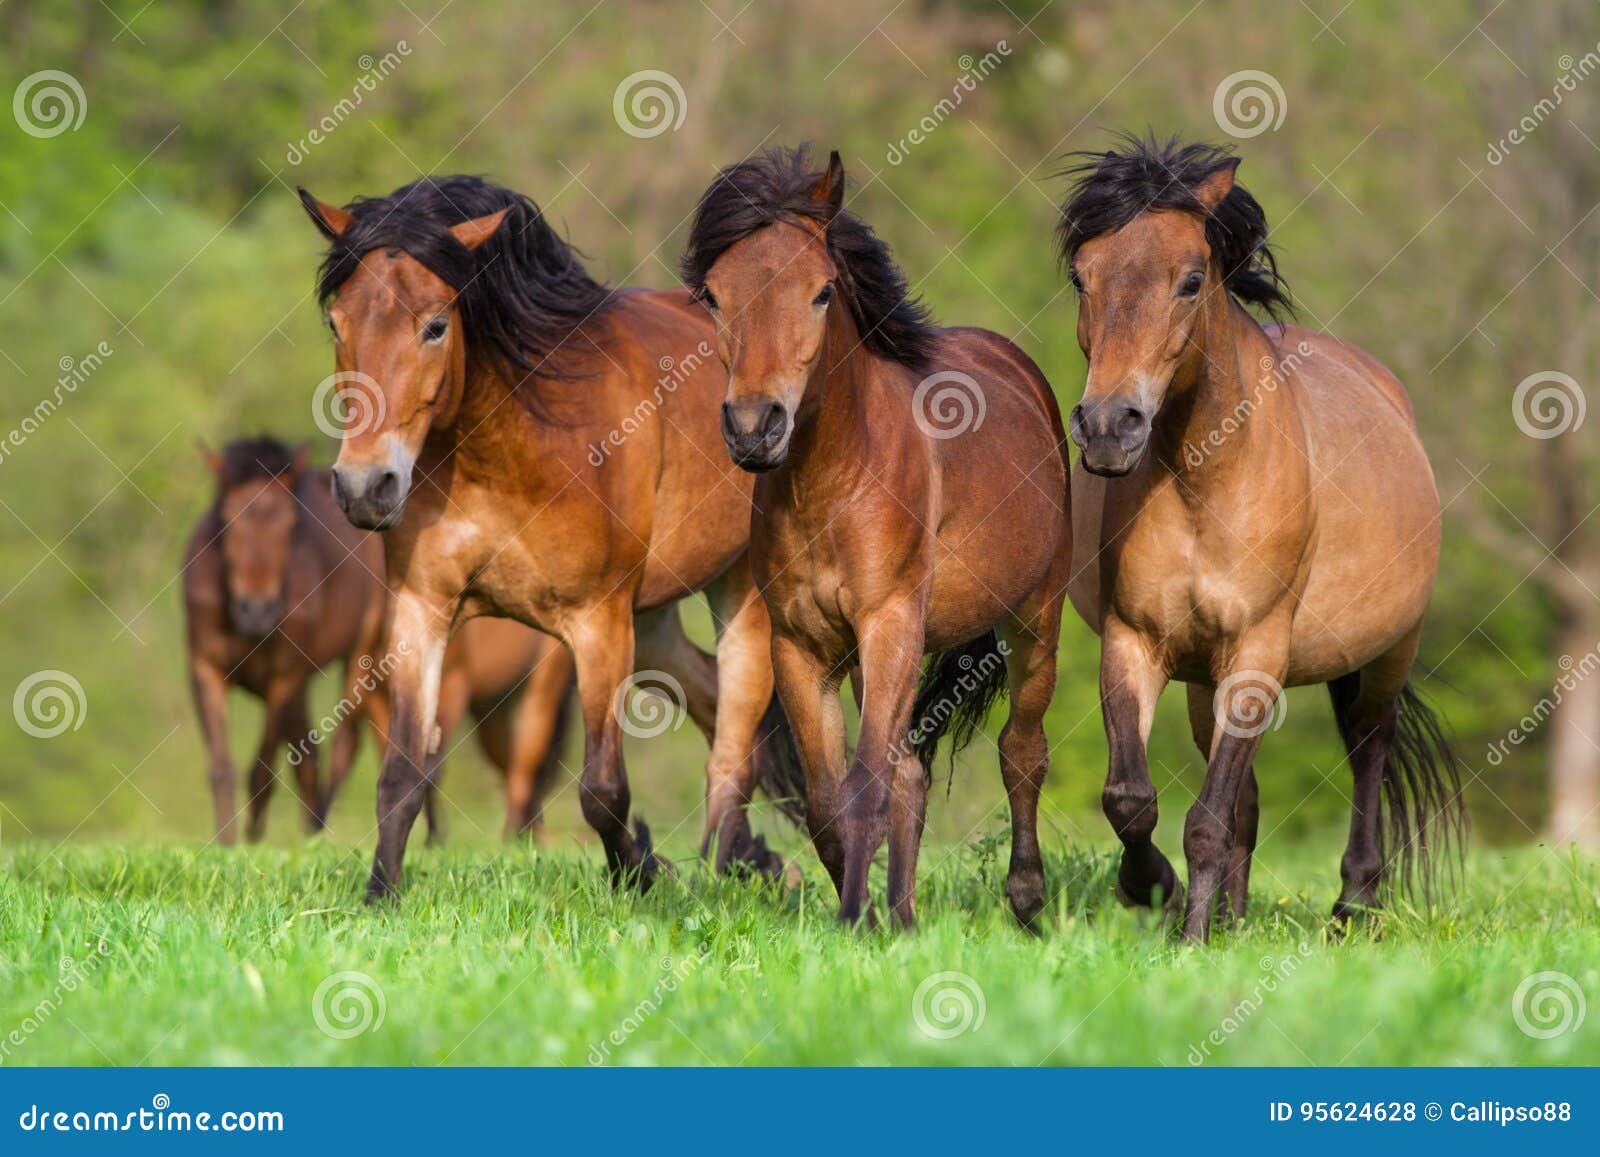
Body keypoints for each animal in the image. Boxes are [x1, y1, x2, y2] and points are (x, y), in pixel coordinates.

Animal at [296, 174, 805, 901]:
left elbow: (602, 789)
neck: (510, 453)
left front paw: (641, 879)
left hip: (736, 596)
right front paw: (378, 898)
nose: (366, 486)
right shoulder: (422, 608)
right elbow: (401, 777)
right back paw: (756, 862)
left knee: (735, 742)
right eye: (336, 323)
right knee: (717, 707)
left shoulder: (596, 623)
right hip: (652, 621)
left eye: (435, 325)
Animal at [681, 147, 1073, 929]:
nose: (754, 428)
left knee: (1021, 751)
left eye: (821, 292)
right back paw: (907, 915)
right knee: (912, 773)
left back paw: (1025, 901)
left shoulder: (888, 621)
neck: (833, 483)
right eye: (712, 294)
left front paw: (853, 923)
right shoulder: (802, 646)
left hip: (1033, 619)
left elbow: (863, 786)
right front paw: (866, 914)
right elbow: (829, 799)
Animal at [1057, 135, 1466, 942]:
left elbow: (1207, 819)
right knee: (1242, 798)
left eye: (1190, 281)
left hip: (1385, 653)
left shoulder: (1257, 650)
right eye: (1081, 276)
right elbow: (1131, 798)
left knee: (1369, 750)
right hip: (1202, 676)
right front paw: (1157, 891)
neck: (1203, 477)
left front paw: (1186, 935)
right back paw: (1233, 918)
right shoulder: (1134, 641)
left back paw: (1353, 905)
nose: (1110, 426)